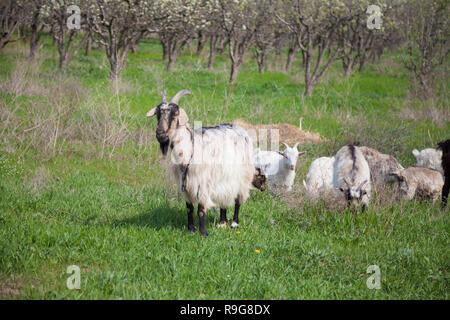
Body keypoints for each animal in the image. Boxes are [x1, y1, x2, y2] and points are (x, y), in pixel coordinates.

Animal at [147, 89, 255, 235]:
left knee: (238, 199)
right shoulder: (185, 185)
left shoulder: (202, 183)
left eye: (175, 114)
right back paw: (222, 222)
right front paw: (191, 229)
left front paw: (203, 232)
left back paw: (234, 223)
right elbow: (189, 208)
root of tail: (239, 127)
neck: (188, 150)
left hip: (243, 176)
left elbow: (201, 210)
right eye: (157, 114)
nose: (160, 134)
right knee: (224, 197)